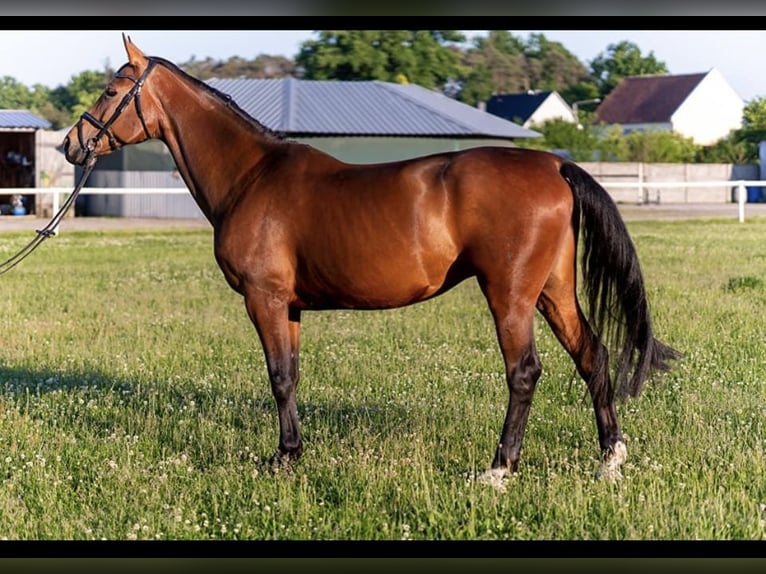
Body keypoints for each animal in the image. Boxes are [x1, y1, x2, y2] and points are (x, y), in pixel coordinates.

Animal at [63, 35, 680, 486]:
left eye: (112, 89)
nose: (72, 144)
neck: (252, 175)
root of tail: (552, 164)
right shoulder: (289, 306)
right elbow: (290, 376)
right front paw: (292, 453)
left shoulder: (265, 299)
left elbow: (278, 378)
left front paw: (282, 459)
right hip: (551, 290)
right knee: (593, 356)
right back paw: (609, 458)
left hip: (510, 294)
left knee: (524, 372)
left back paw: (499, 468)